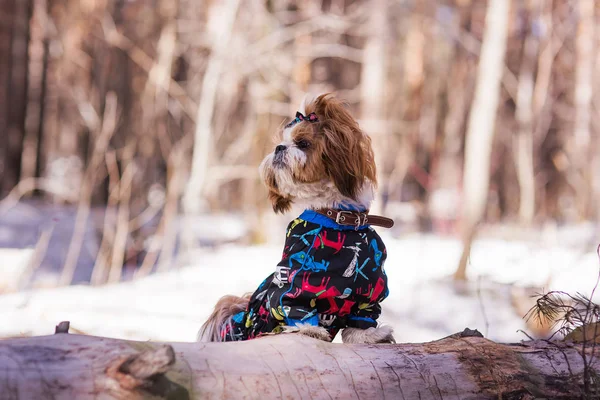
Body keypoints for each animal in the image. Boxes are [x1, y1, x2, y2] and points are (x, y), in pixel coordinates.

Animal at [199, 93, 396, 344]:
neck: (338, 221)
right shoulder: (294, 284)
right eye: (280, 142)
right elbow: (294, 306)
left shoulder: (369, 290)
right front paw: (309, 329)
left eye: (302, 143)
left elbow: (362, 320)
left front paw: (370, 335)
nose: (278, 148)